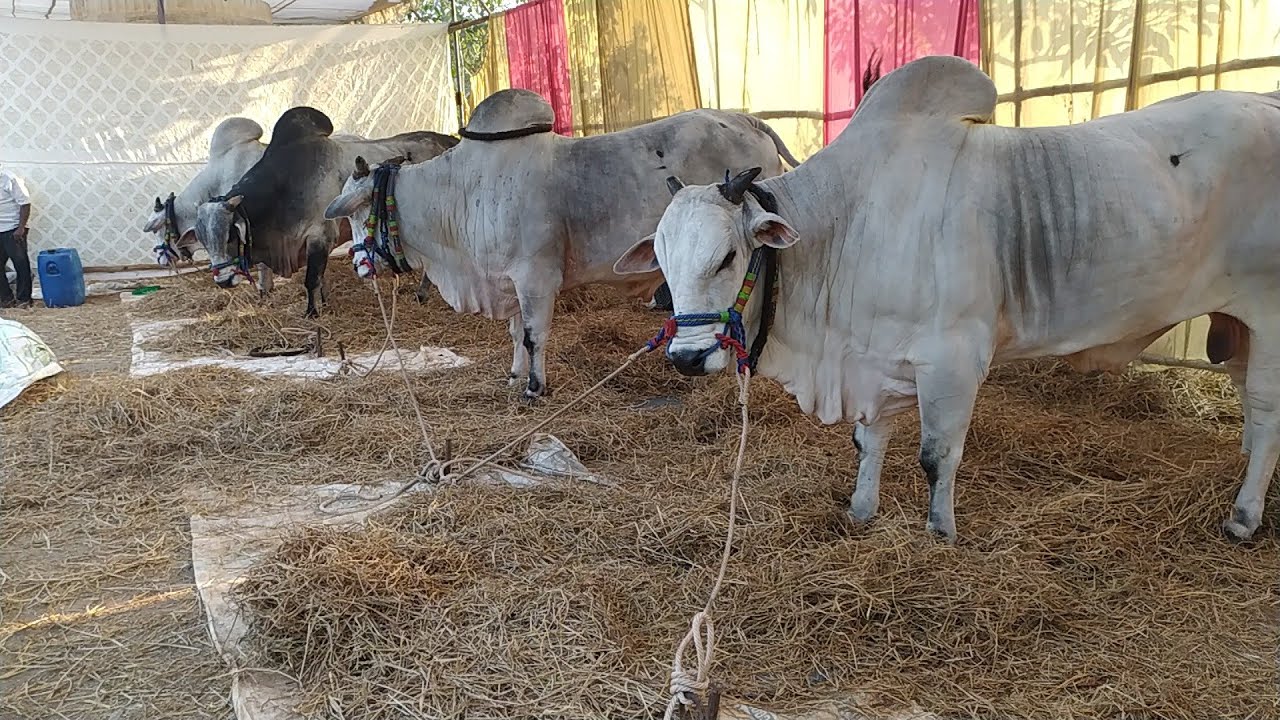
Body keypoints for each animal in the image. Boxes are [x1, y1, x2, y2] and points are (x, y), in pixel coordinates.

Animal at [194, 106, 458, 317]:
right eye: (203, 240)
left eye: (230, 235)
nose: (223, 281)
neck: (285, 185)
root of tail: (449, 141)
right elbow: (320, 277)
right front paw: (324, 301)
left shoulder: (319, 236)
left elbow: (311, 279)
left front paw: (312, 312)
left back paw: (422, 294)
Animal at [322, 88, 802, 398]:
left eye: (358, 212)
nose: (358, 264)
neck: (463, 191)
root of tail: (743, 118)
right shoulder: (510, 283)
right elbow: (515, 334)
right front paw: (515, 376)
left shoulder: (535, 278)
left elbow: (534, 335)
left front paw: (535, 387)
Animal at [613, 55, 1280, 544]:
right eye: (664, 262)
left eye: (727, 256)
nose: (687, 358)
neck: (850, 223)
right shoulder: (872, 357)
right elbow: (868, 442)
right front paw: (861, 511)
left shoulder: (953, 361)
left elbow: (938, 457)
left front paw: (941, 533)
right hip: (1237, 326)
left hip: (1270, 319)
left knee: (1267, 414)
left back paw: (1243, 518)